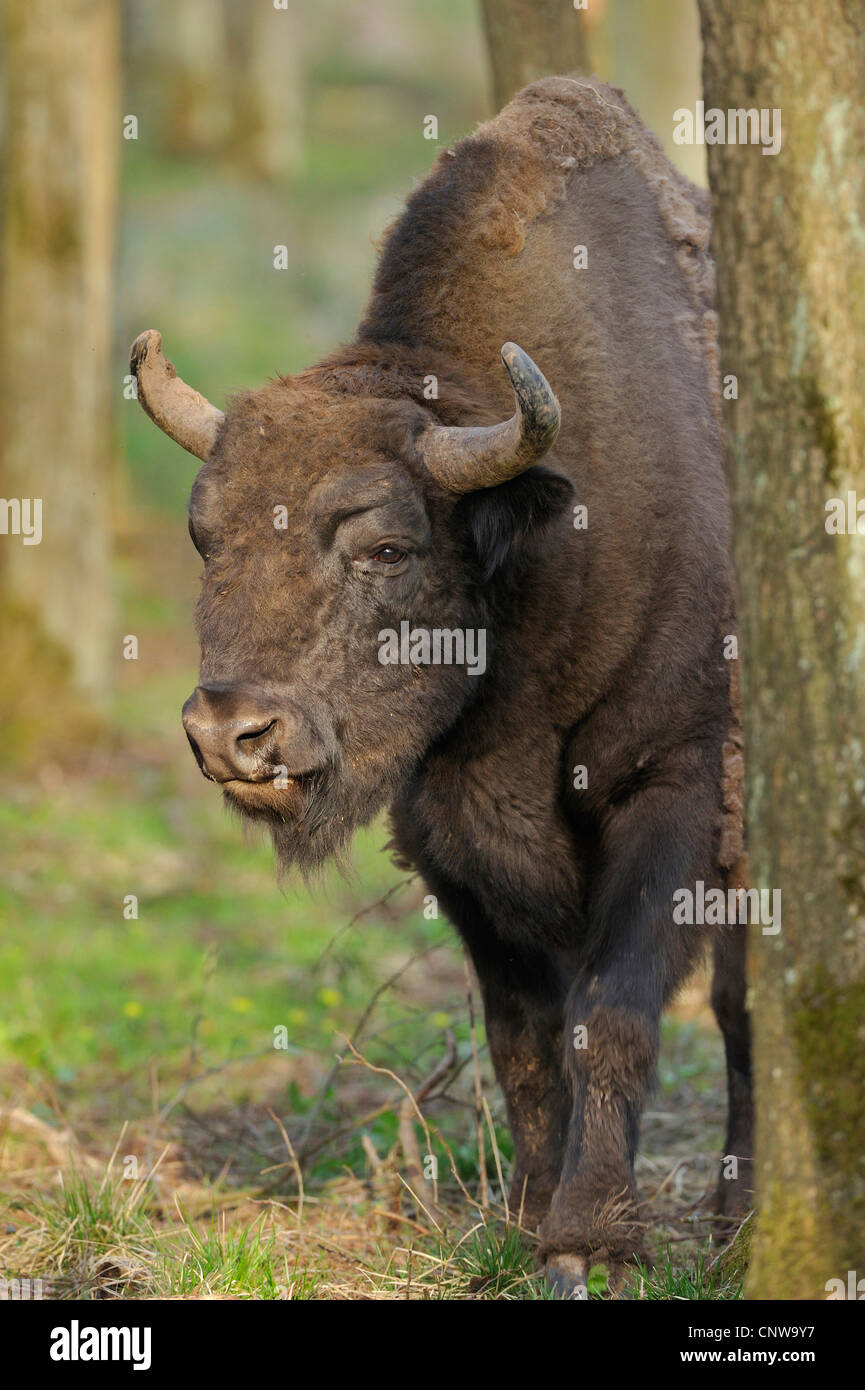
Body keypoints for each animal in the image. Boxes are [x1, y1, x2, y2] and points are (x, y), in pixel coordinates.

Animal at [132, 76, 756, 1289]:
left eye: (385, 546)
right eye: (205, 536)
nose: (232, 733)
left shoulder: (679, 792)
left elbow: (611, 1012)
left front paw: (589, 1241)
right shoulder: (447, 844)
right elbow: (524, 1036)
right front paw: (521, 1220)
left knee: (750, 1013)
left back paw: (740, 1222)